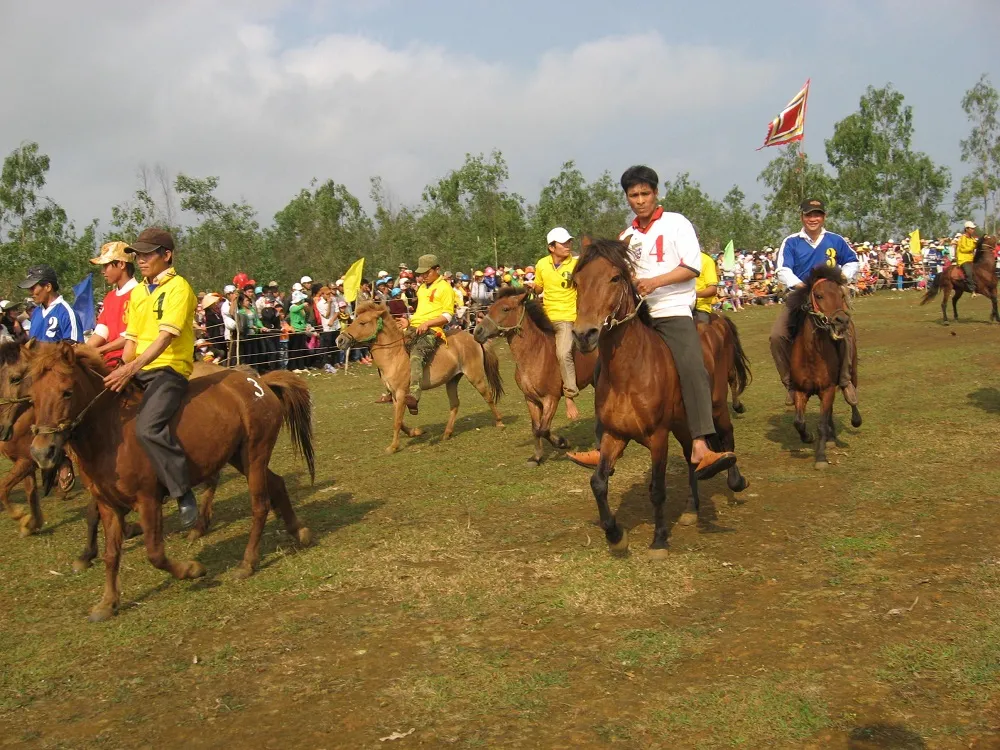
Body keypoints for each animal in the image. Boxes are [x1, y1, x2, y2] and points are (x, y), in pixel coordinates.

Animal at [27, 344, 314, 624]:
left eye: (66, 392)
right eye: (32, 397)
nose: (42, 452)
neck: (111, 432)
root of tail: (258, 383)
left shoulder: (148, 500)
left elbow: (155, 553)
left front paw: (192, 569)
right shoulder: (108, 505)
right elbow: (111, 554)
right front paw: (107, 603)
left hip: (255, 455)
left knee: (259, 505)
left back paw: (247, 562)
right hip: (238, 456)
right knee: (276, 483)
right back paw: (299, 531)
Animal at [338, 302, 508, 456]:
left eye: (362, 322)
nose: (339, 340)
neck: (394, 355)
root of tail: (473, 337)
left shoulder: (401, 393)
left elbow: (397, 422)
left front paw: (393, 447)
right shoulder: (394, 395)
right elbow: (399, 420)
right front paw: (415, 432)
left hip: (475, 376)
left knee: (488, 397)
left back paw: (499, 422)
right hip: (452, 380)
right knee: (455, 404)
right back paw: (447, 433)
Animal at [470, 290, 592, 468]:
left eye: (505, 309)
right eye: (490, 307)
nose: (477, 332)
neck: (535, 354)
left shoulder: (551, 399)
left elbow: (544, 429)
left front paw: (562, 442)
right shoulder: (531, 399)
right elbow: (536, 428)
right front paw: (537, 457)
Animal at [572, 239, 752, 560]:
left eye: (615, 278)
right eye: (577, 281)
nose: (584, 335)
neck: (629, 373)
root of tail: (718, 319)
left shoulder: (657, 437)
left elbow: (657, 489)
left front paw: (659, 540)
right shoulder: (615, 434)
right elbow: (598, 483)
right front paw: (615, 536)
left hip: (716, 406)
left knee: (726, 437)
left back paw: (735, 479)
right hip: (682, 423)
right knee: (693, 456)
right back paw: (692, 508)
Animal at [788, 266, 860, 470]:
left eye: (841, 294)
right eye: (818, 295)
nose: (841, 320)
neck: (812, 355)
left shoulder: (827, 390)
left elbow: (821, 424)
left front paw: (820, 457)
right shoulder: (800, 390)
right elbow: (799, 422)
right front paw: (807, 437)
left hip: (852, 369)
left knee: (852, 393)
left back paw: (855, 418)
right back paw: (831, 437)